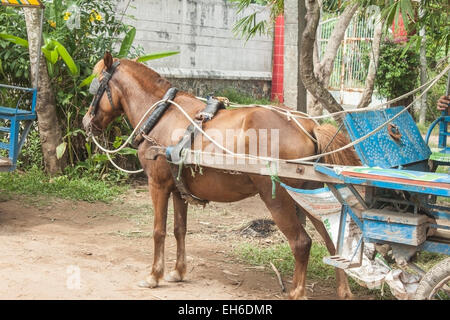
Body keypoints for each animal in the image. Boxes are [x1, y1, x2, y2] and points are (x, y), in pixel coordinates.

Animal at [81, 52, 362, 300]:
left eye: (96, 86)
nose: (85, 122)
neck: (161, 115)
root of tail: (307, 125)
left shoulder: (157, 184)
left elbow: (158, 231)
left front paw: (153, 276)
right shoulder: (178, 188)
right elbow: (179, 229)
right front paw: (178, 272)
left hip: (278, 197)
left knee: (301, 242)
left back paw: (297, 292)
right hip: (308, 193)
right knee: (331, 241)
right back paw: (344, 290)